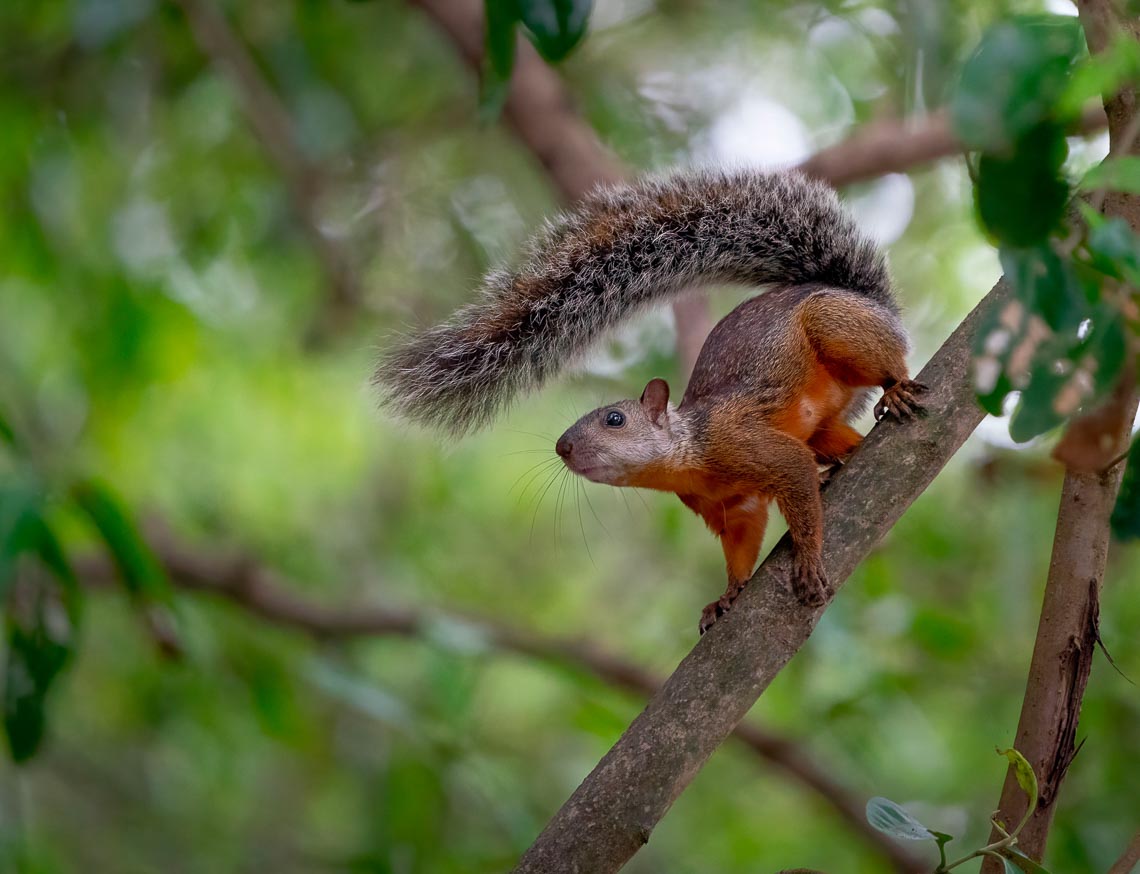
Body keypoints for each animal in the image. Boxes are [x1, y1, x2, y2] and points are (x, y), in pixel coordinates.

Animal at [378, 168, 921, 638]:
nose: (561, 448)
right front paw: (727, 594)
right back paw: (843, 459)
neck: (690, 458)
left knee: (887, 362)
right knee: (839, 438)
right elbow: (741, 546)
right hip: (826, 421)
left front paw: (807, 559)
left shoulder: (746, 442)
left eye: (615, 418)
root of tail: (861, 299)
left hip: (837, 328)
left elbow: (795, 482)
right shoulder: (732, 508)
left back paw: (895, 388)